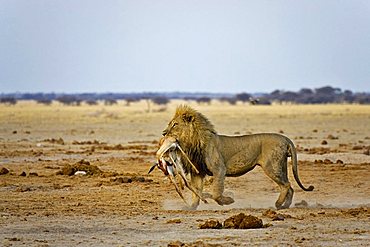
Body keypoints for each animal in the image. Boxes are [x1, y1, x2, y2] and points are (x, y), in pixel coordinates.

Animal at [161, 104, 312, 210]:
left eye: (175, 124)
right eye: (169, 123)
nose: (163, 133)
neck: (193, 142)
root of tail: (285, 138)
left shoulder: (219, 169)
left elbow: (216, 192)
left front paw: (228, 201)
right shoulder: (198, 172)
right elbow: (196, 192)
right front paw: (192, 207)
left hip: (272, 166)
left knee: (286, 185)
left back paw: (278, 204)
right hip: (281, 166)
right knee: (290, 186)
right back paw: (286, 205)